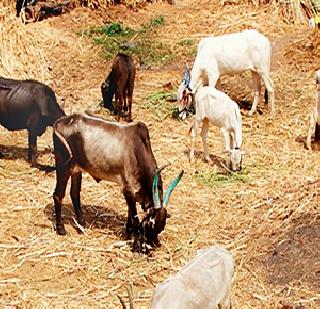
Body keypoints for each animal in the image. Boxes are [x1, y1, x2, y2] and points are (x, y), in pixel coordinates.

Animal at [52, 112, 182, 251]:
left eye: (161, 227)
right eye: (151, 223)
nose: (154, 245)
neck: (138, 151)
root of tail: (61, 121)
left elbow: (130, 214)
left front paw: (128, 233)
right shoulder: (127, 189)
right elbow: (135, 219)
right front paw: (136, 245)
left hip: (76, 170)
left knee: (74, 193)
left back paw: (82, 224)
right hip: (63, 167)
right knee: (58, 195)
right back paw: (61, 228)